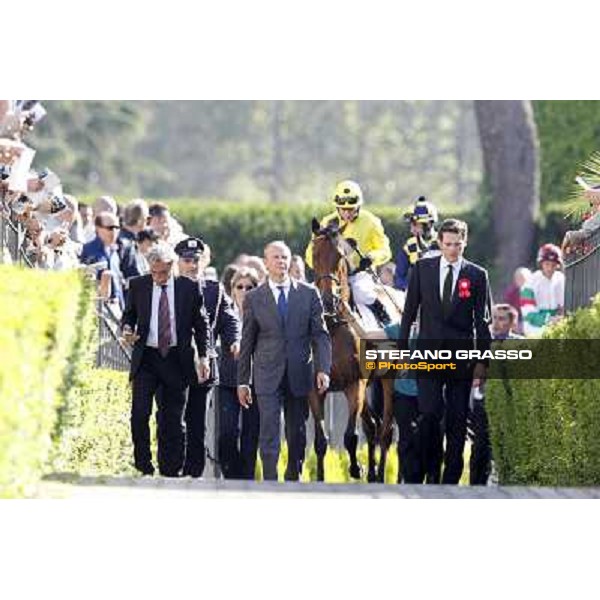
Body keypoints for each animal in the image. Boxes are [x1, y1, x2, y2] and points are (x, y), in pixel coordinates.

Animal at [310, 216, 404, 482]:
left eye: (340, 256)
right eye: (314, 253)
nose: (327, 300)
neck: (333, 325)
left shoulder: (355, 384)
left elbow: (350, 436)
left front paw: (355, 467)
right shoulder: (315, 387)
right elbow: (321, 441)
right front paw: (321, 478)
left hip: (388, 380)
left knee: (385, 431)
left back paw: (379, 473)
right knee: (373, 426)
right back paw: (372, 472)